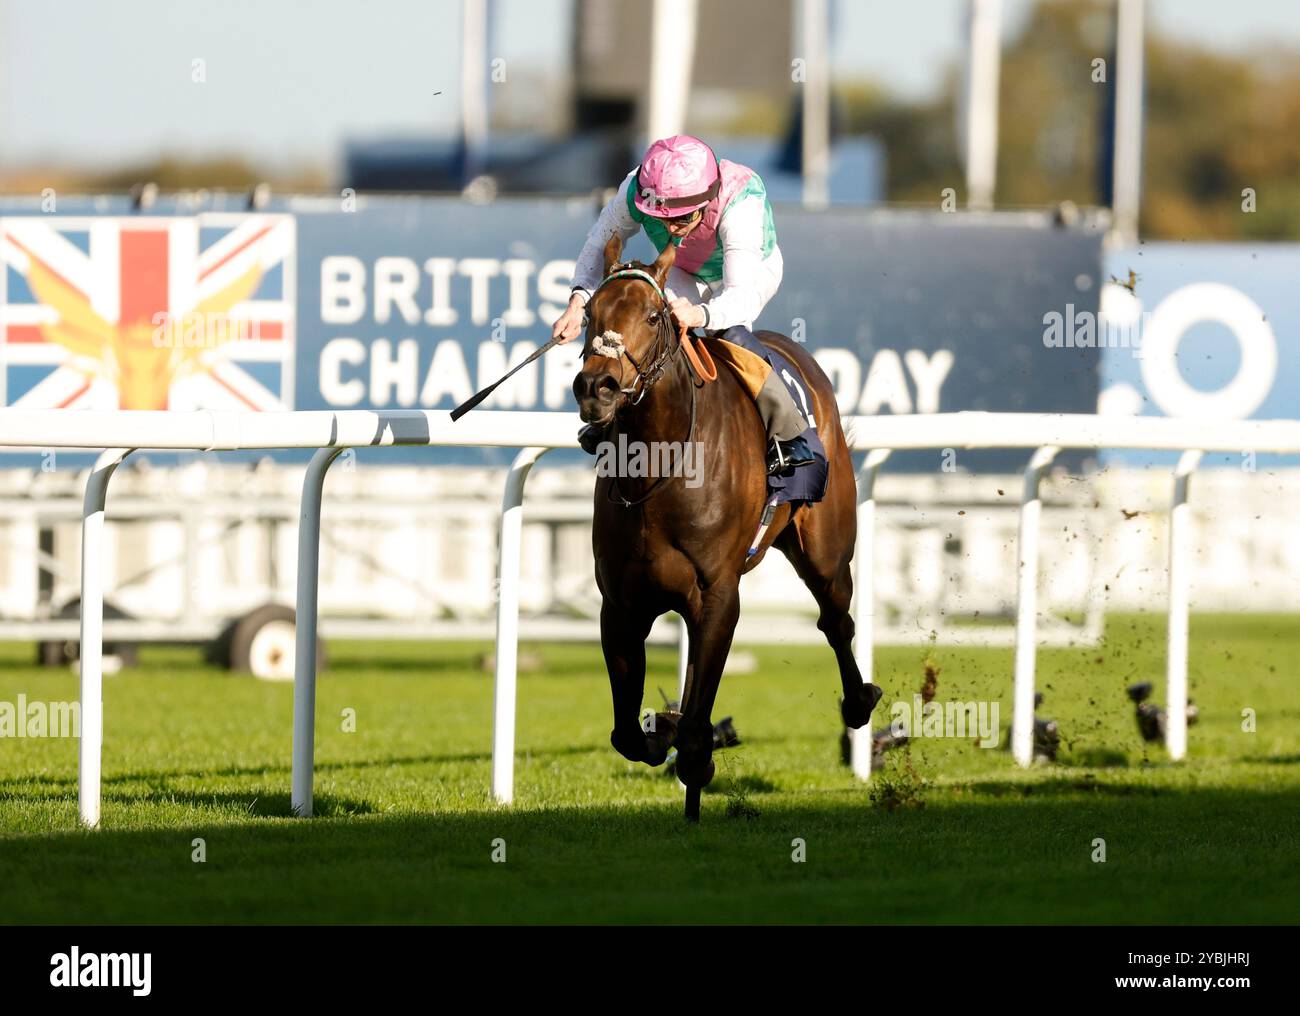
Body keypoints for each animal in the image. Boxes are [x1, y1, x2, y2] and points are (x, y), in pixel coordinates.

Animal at [572, 236, 883, 821]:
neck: (659, 468)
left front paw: (695, 762)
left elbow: (697, 724)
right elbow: (629, 732)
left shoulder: (717, 595)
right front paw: (663, 730)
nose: (597, 386)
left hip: (826, 552)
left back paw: (859, 702)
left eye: (653, 315)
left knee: (836, 621)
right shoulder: (621, 602)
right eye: (588, 315)